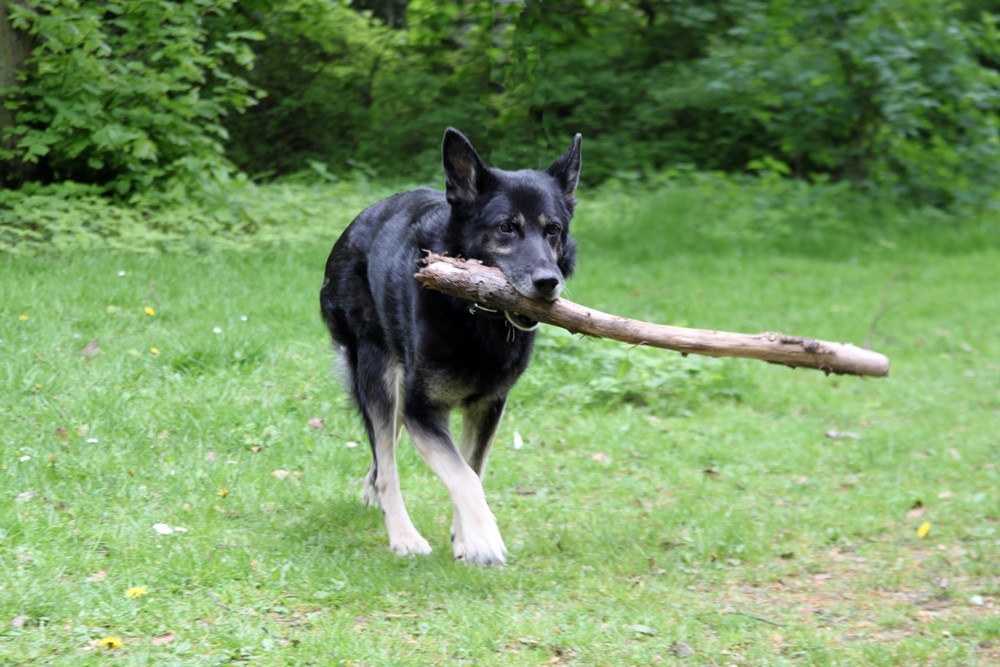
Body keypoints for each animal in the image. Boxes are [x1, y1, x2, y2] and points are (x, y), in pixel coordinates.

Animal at [320, 128, 584, 568]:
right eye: (506, 228)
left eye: (553, 230)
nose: (549, 282)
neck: (477, 316)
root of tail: (357, 221)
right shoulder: (422, 410)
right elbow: (462, 476)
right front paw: (483, 541)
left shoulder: (488, 406)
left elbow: (471, 469)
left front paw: (464, 537)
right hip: (378, 371)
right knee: (387, 463)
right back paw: (404, 536)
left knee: (382, 455)